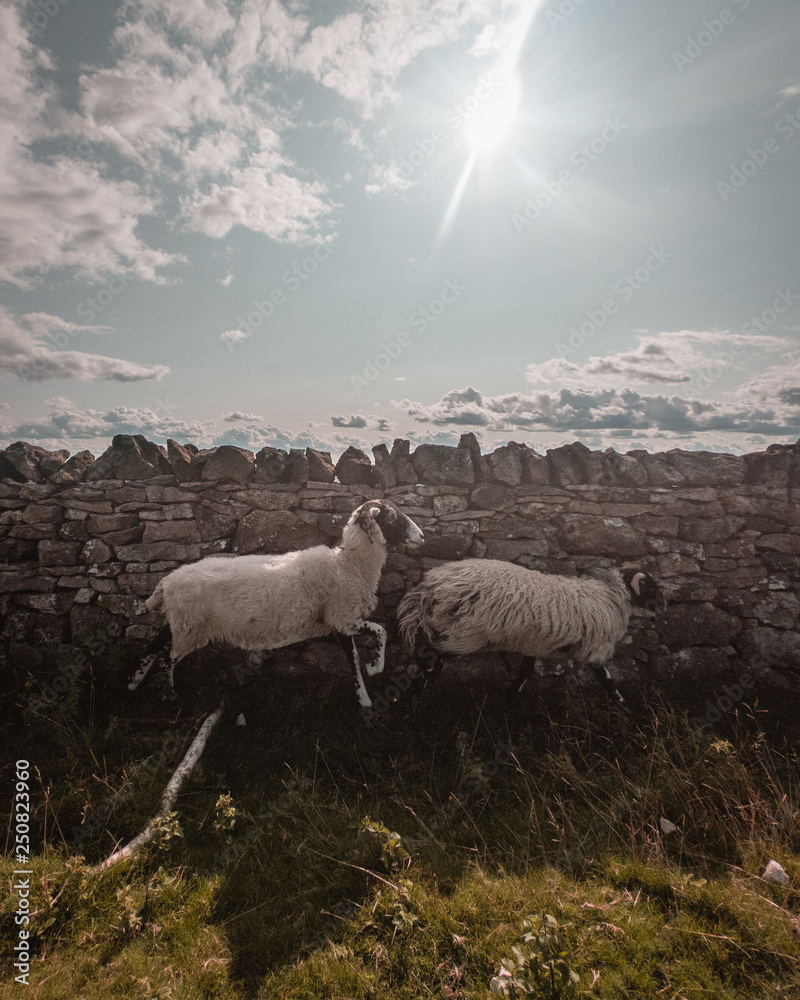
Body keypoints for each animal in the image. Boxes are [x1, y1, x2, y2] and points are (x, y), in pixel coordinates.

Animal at [129, 499, 424, 713]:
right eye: (390, 517)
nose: (422, 537)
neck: (348, 565)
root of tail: (166, 583)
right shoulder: (342, 617)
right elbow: (374, 638)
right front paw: (371, 681)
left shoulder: (340, 621)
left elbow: (364, 649)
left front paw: (368, 686)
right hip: (190, 629)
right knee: (166, 659)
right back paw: (168, 695)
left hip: (181, 623)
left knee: (152, 647)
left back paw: (134, 684)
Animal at [397, 560, 664, 705]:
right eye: (651, 586)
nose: (663, 606)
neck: (611, 597)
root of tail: (430, 587)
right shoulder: (595, 649)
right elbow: (608, 681)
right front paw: (624, 708)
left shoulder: (534, 645)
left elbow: (523, 676)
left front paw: (509, 705)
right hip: (464, 634)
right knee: (432, 656)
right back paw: (410, 696)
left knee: (429, 655)